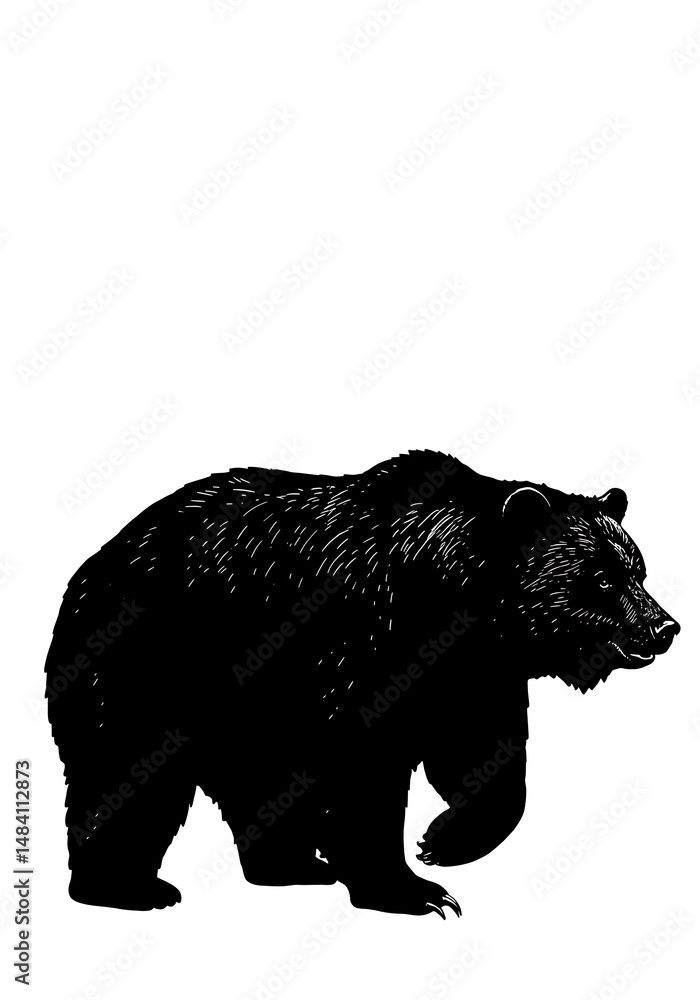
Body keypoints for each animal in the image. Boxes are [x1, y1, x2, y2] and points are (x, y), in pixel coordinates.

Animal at [44, 450, 680, 917]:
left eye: (639, 570)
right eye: (601, 578)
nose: (663, 626)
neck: (451, 605)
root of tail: (91, 564)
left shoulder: (473, 675)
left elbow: (484, 757)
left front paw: (443, 840)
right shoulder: (362, 646)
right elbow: (363, 771)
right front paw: (413, 890)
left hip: (249, 706)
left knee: (261, 777)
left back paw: (292, 867)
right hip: (150, 663)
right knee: (127, 767)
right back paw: (127, 888)